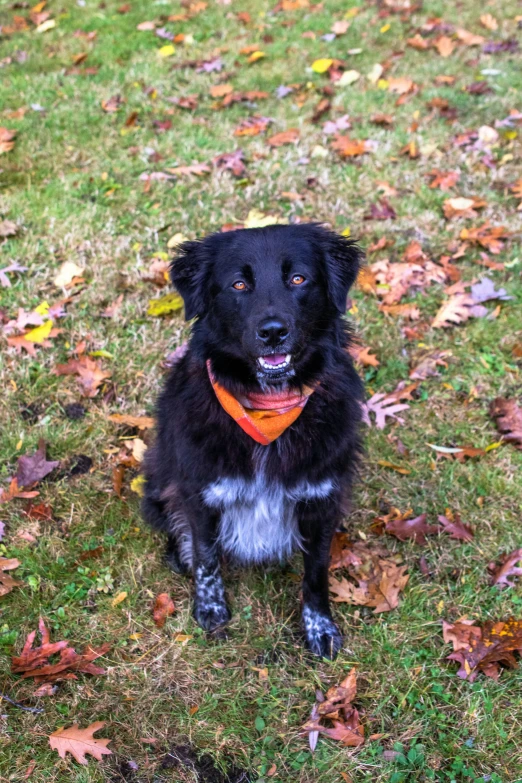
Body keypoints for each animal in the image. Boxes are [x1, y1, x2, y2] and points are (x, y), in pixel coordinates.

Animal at [142, 224, 362, 660]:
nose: (273, 332)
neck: (269, 404)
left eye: (298, 279)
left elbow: (316, 572)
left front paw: (319, 627)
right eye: (239, 284)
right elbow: (207, 557)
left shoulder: (322, 497)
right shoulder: (201, 492)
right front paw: (210, 609)